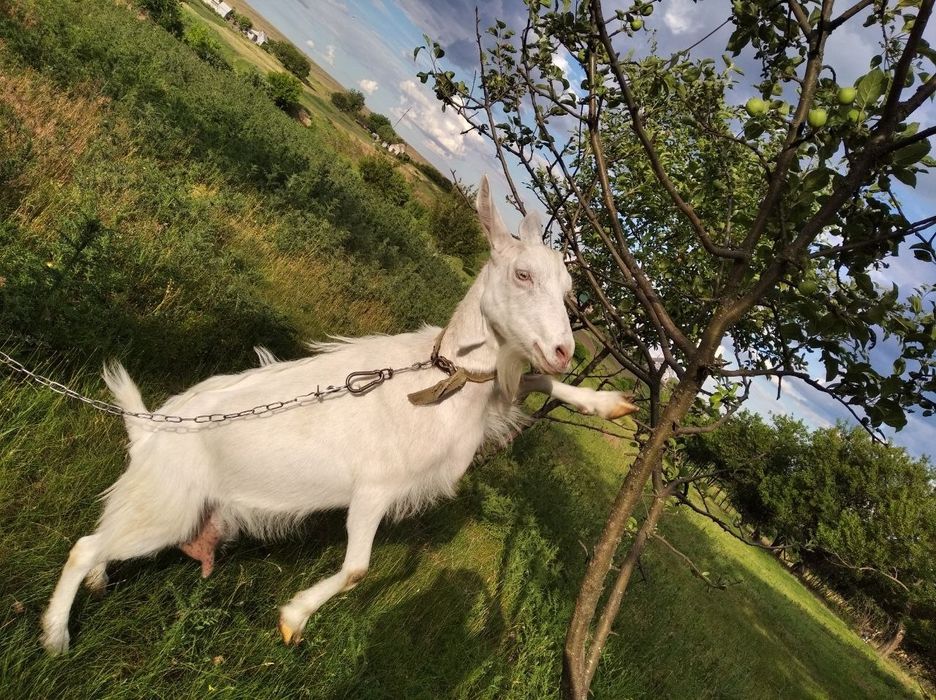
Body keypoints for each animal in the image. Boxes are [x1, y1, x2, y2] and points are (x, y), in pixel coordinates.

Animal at [41, 176, 638, 653]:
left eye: (569, 290)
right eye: (521, 275)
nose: (563, 350)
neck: (439, 380)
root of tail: (149, 432)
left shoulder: (490, 395)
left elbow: (533, 384)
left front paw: (609, 404)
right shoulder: (374, 488)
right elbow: (356, 569)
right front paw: (293, 617)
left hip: (166, 509)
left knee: (107, 536)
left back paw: (96, 585)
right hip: (171, 507)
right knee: (84, 546)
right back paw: (56, 636)